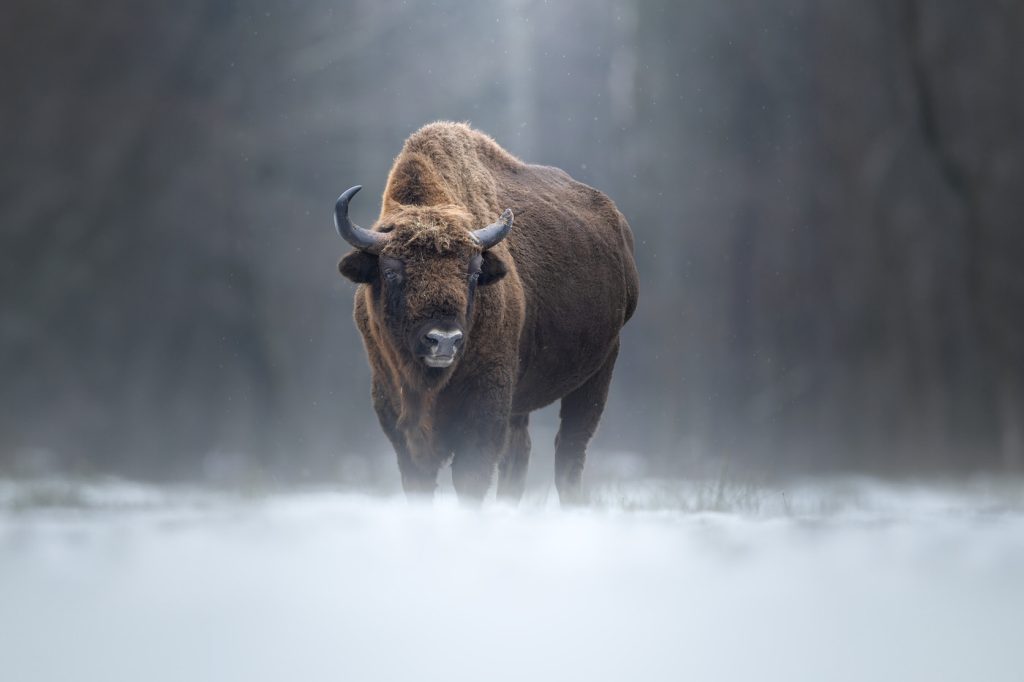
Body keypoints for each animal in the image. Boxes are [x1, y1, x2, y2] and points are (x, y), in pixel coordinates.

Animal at [334, 122, 638, 504]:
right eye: (390, 271)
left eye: (474, 271)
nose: (443, 341)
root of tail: (619, 226)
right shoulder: (394, 410)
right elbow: (419, 480)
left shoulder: (485, 407)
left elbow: (471, 478)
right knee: (520, 455)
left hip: (598, 370)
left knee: (569, 449)